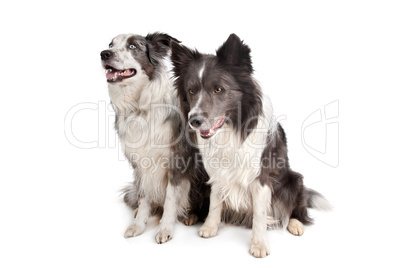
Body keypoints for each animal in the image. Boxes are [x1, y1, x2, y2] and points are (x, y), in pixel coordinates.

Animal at [100, 33, 209, 243]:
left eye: (133, 46)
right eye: (111, 44)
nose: (104, 53)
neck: (140, 108)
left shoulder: (176, 162)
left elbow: (170, 200)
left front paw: (165, 229)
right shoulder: (139, 165)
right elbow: (143, 198)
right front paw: (138, 225)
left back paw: (190, 216)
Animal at [171, 34, 332, 258]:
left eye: (218, 89)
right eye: (191, 90)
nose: (194, 120)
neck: (232, 129)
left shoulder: (261, 176)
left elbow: (260, 213)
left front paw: (259, 244)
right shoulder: (217, 172)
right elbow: (215, 202)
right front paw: (210, 227)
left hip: (294, 180)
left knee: (296, 208)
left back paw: (295, 224)